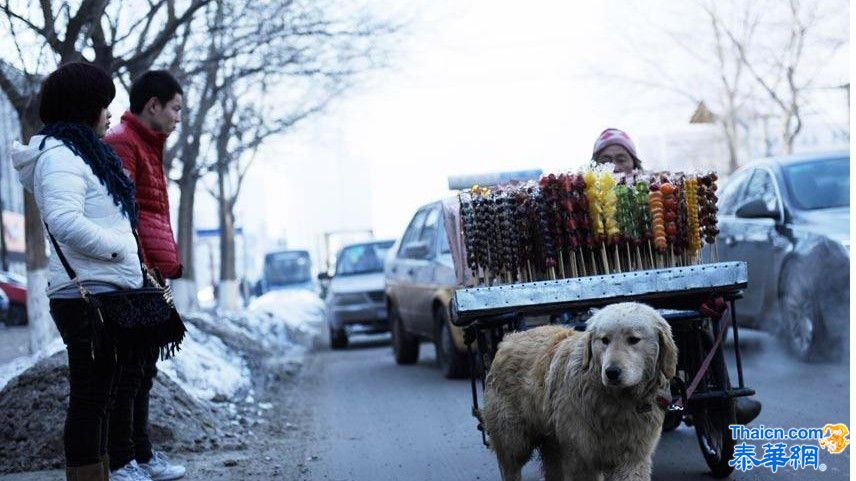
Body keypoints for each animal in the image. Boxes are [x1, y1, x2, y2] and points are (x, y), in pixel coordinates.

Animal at [482, 304, 676, 480]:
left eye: (634, 339)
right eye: (604, 340)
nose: (611, 372)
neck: (618, 401)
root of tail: (510, 337)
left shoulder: (631, 460)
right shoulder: (581, 459)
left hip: (552, 442)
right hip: (514, 439)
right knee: (510, 467)